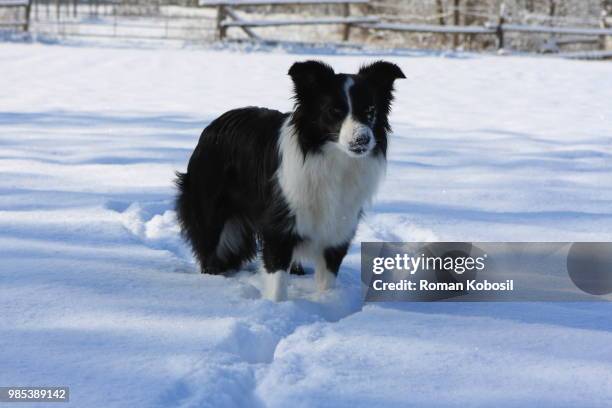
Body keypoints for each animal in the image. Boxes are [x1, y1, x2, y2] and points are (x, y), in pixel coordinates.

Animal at [175, 59, 404, 300]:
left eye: (370, 111)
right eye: (334, 111)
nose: (363, 139)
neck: (333, 160)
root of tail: (214, 124)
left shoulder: (338, 229)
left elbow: (327, 279)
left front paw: (326, 301)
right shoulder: (280, 226)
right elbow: (276, 279)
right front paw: (276, 305)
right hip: (208, 208)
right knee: (209, 247)